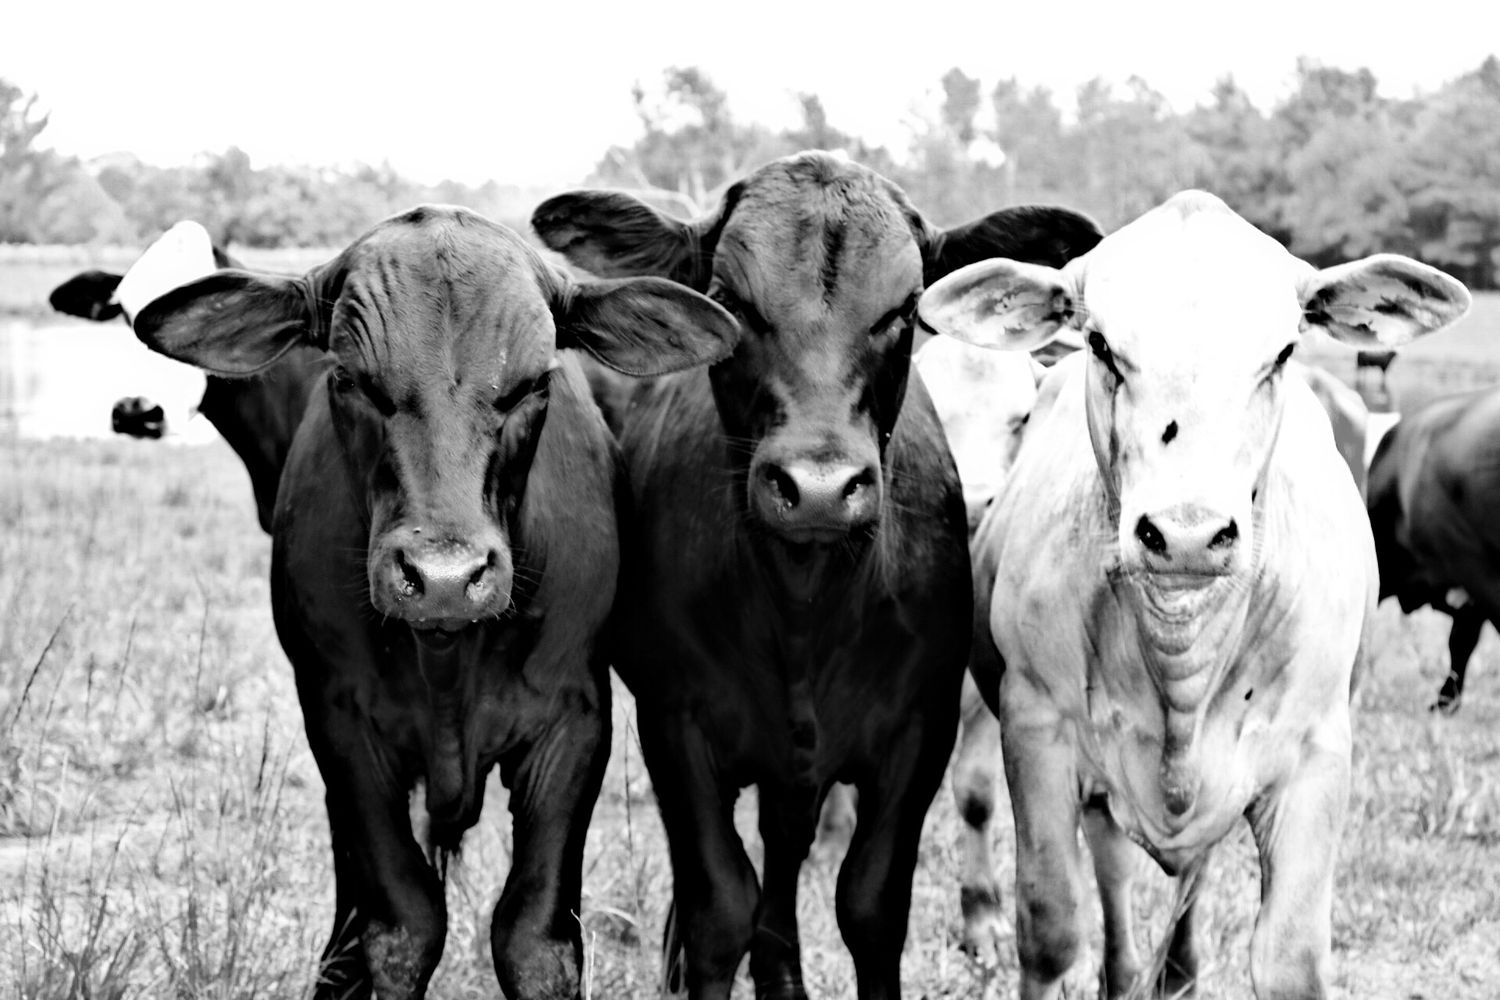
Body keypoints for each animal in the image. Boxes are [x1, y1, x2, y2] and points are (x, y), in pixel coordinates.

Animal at [128, 205, 739, 999]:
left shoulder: (574, 721)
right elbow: (399, 926)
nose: (444, 577)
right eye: (350, 377)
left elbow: (536, 940)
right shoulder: (341, 719)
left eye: (533, 383)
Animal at [532, 150, 1103, 1000]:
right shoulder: (675, 721)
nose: (821, 486)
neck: (805, 600)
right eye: (730, 300)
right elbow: (719, 906)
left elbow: (870, 904)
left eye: (906, 308)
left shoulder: (919, 728)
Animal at [918, 189, 1469, 999]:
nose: (1184, 535)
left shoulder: (1316, 754)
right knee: (1113, 874)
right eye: (1101, 345)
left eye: (1283, 353)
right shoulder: (1036, 733)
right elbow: (1050, 932)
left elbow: (1289, 959)